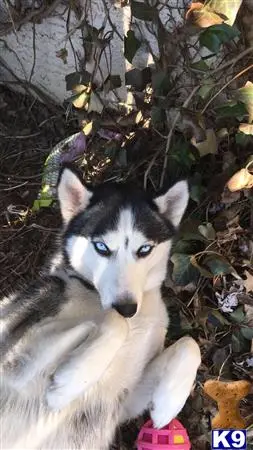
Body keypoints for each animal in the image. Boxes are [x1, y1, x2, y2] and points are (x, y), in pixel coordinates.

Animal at [0, 167, 202, 450]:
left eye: (144, 249)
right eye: (102, 247)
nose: (127, 307)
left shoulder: (123, 402)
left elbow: (189, 344)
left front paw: (168, 402)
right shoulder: (12, 361)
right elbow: (115, 324)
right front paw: (70, 383)